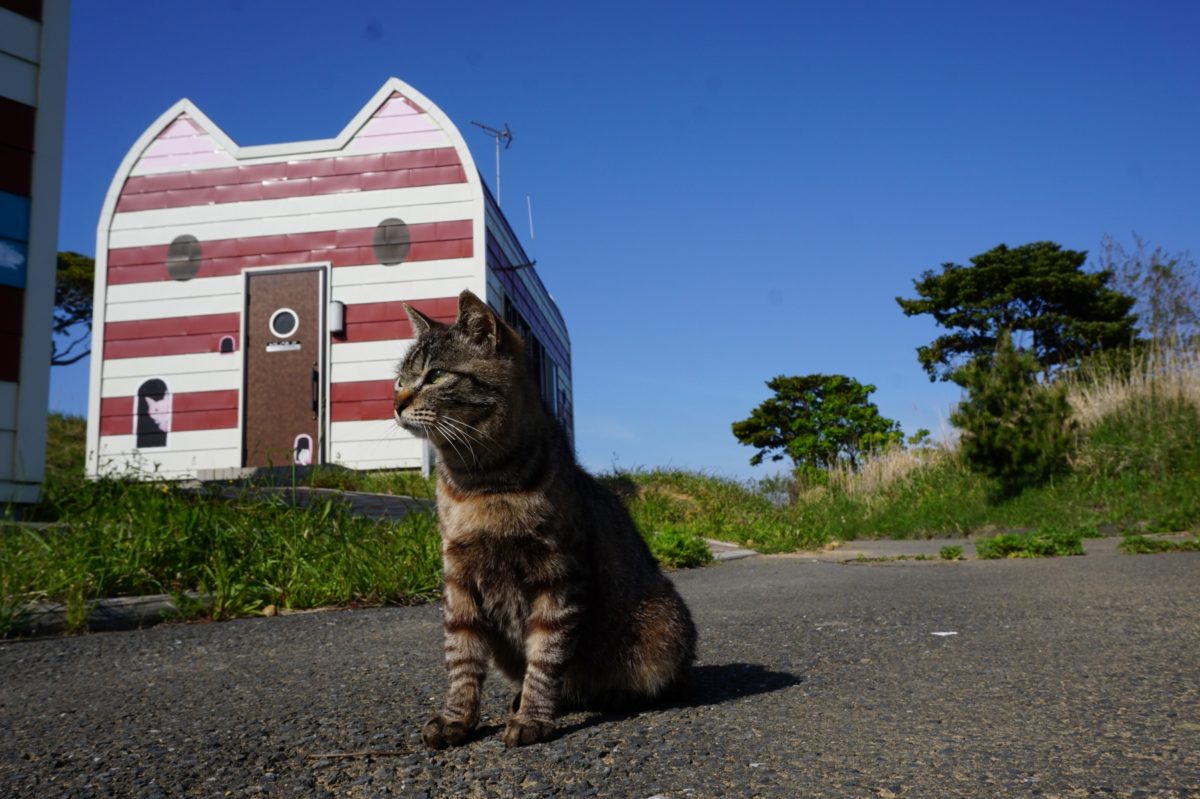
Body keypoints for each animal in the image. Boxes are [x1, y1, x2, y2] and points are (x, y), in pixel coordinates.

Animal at [396, 292, 696, 748]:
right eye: (399, 380)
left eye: (436, 376)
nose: (395, 403)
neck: (480, 482)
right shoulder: (458, 577)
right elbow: (461, 657)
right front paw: (456, 718)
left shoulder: (558, 576)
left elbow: (545, 656)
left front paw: (534, 717)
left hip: (664, 626)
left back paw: (612, 693)